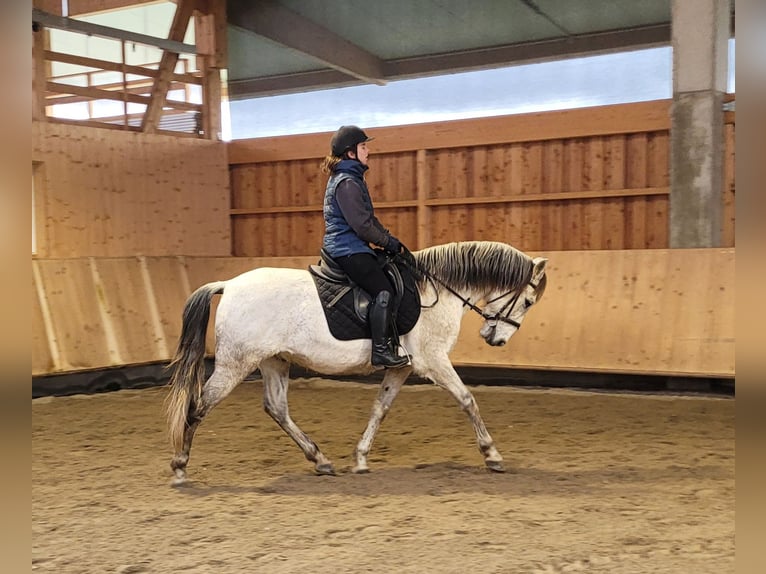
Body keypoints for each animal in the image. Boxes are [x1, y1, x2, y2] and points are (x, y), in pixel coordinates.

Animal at [166, 241, 548, 483]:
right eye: (528, 302)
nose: (496, 340)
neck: (435, 291)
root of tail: (229, 284)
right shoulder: (434, 361)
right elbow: (468, 400)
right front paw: (492, 455)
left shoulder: (401, 367)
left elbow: (380, 409)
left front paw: (361, 458)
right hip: (235, 364)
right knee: (199, 406)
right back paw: (180, 467)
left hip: (274, 361)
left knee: (276, 408)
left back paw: (320, 460)